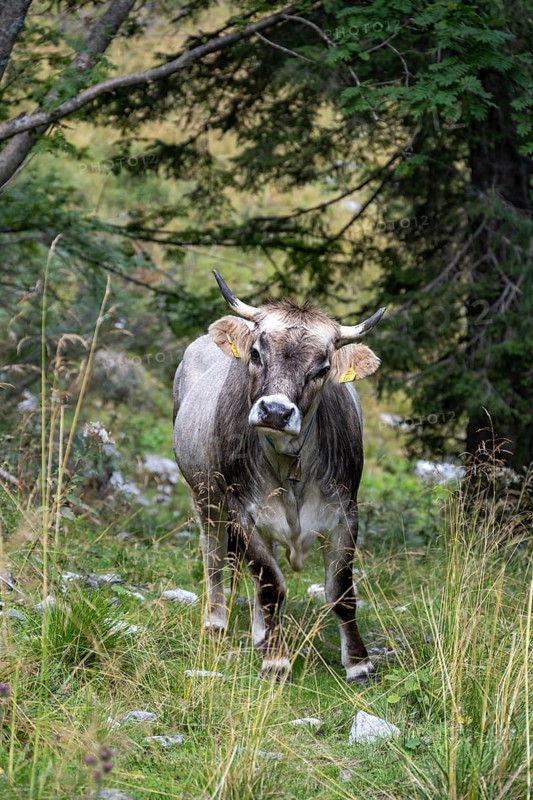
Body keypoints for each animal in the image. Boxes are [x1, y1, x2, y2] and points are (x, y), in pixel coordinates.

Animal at [173, 271, 385, 683]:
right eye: (256, 353)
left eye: (322, 369)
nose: (274, 410)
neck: (290, 467)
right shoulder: (241, 511)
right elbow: (270, 585)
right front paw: (276, 660)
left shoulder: (345, 513)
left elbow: (341, 591)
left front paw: (358, 663)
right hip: (205, 498)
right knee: (215, 555)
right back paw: (216, 621)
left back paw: (259, 632)